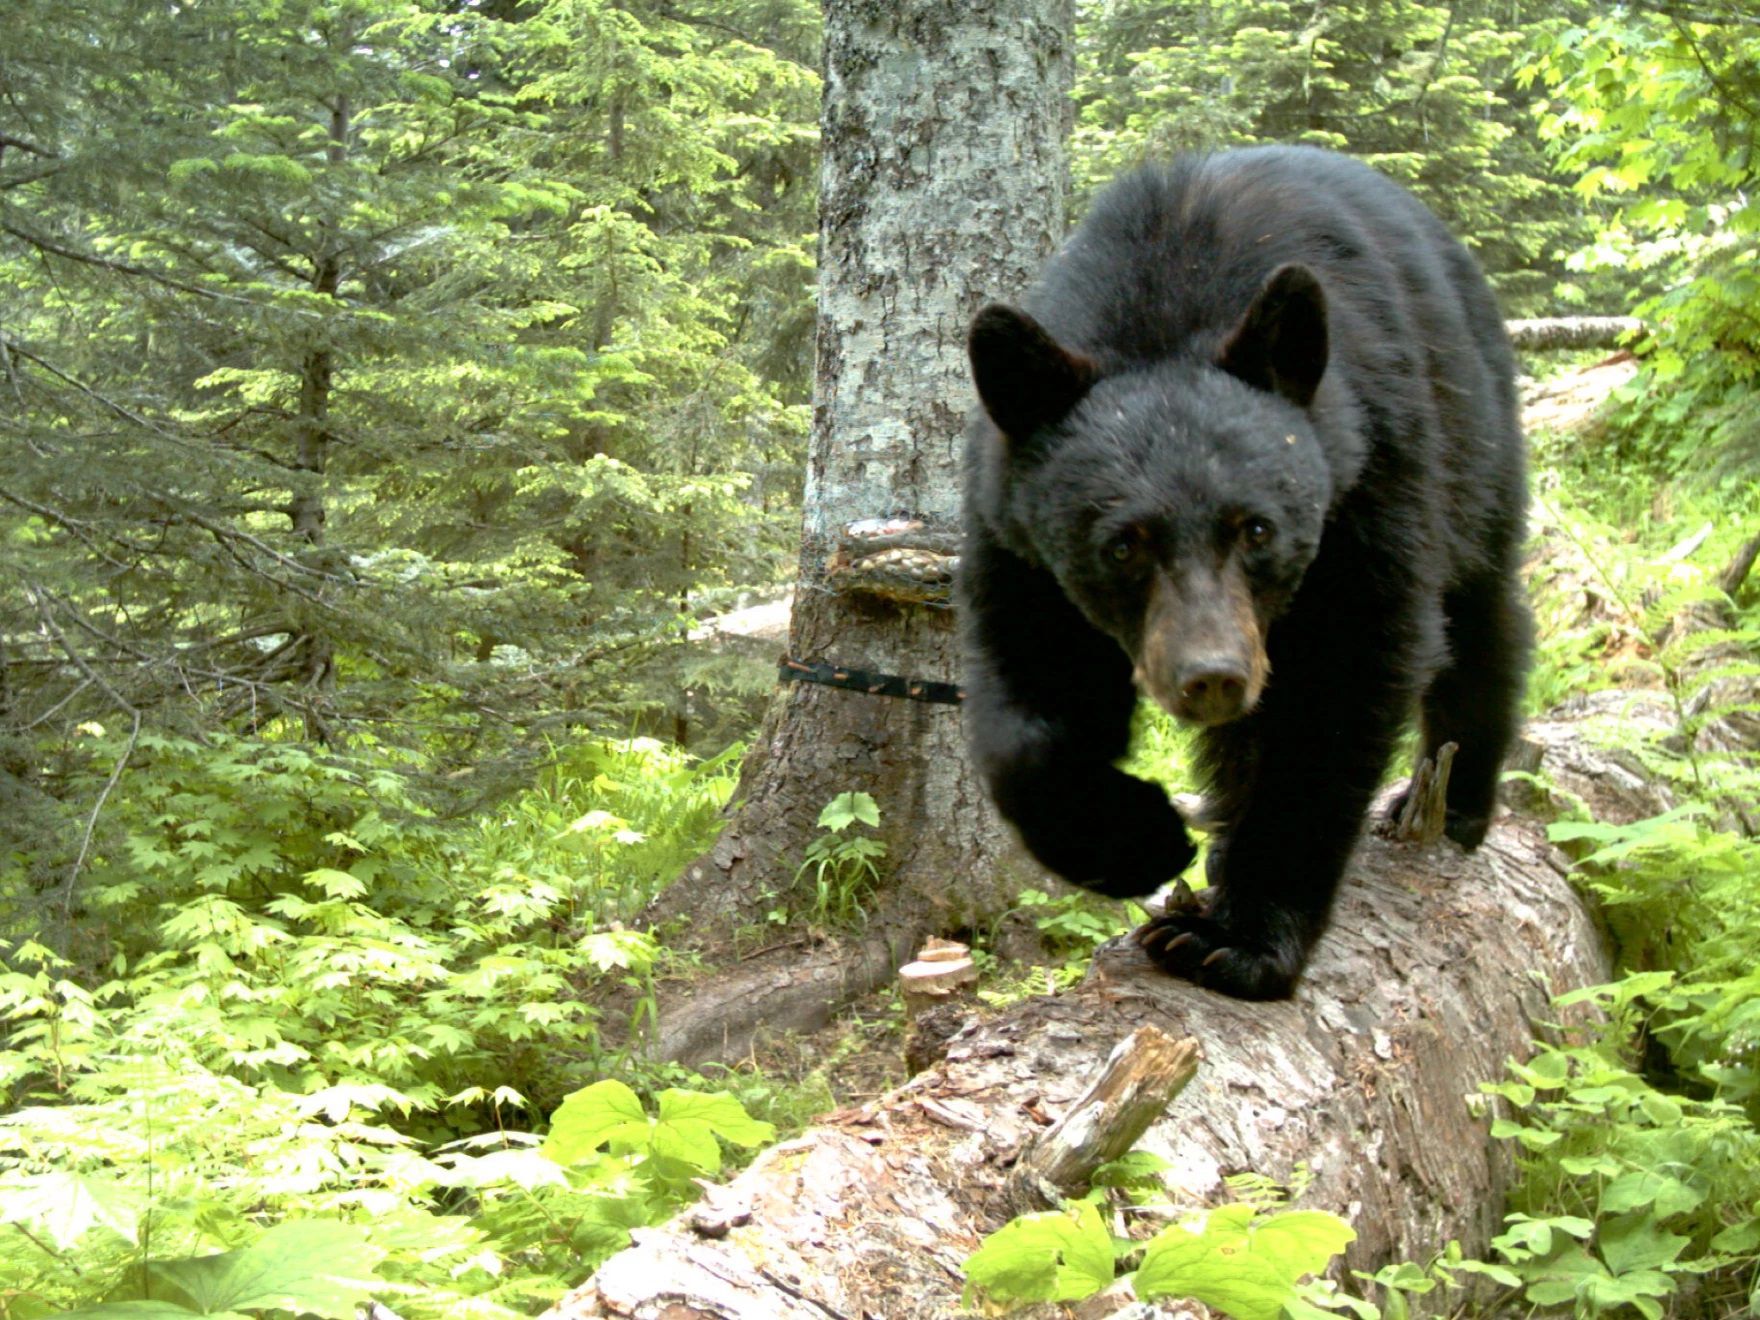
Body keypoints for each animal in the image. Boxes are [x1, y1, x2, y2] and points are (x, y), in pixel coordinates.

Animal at [964, 149, 1527, 999]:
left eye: (1256, 528)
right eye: (1122, 545)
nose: (1213, 676)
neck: (1165, 294)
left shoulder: (1371, 472)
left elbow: (1340, 678)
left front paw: (1238, 940)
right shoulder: (1014, 529)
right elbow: (1030, 693)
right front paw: (1138, 838)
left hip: (1474, 424)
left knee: (1482, 611)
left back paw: (1452, 802)